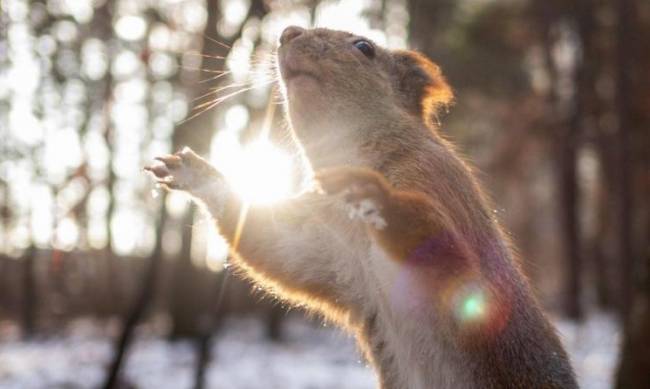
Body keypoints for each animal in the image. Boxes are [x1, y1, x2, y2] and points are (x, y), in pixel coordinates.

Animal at [146, 27, 572, 388]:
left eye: (364, 47)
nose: (287, 32)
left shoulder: (439, 186)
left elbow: (451, 259)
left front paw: (373, 193)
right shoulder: (335, 254)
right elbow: (278, 247)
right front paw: (196, 174)